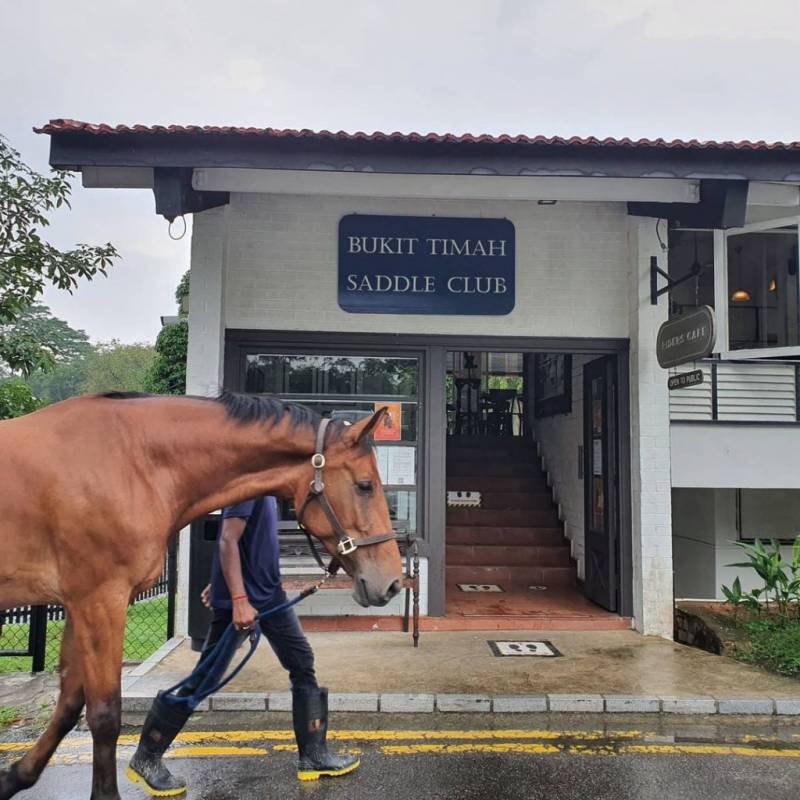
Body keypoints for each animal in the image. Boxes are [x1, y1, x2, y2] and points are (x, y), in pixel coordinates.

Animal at [0, 394, 400, 800]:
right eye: (365, 486)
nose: (393, 582)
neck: (131, 462)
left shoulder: (80, 603)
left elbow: (70, 703)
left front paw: (15, 777)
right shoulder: (99, 599)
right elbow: (104, 714)